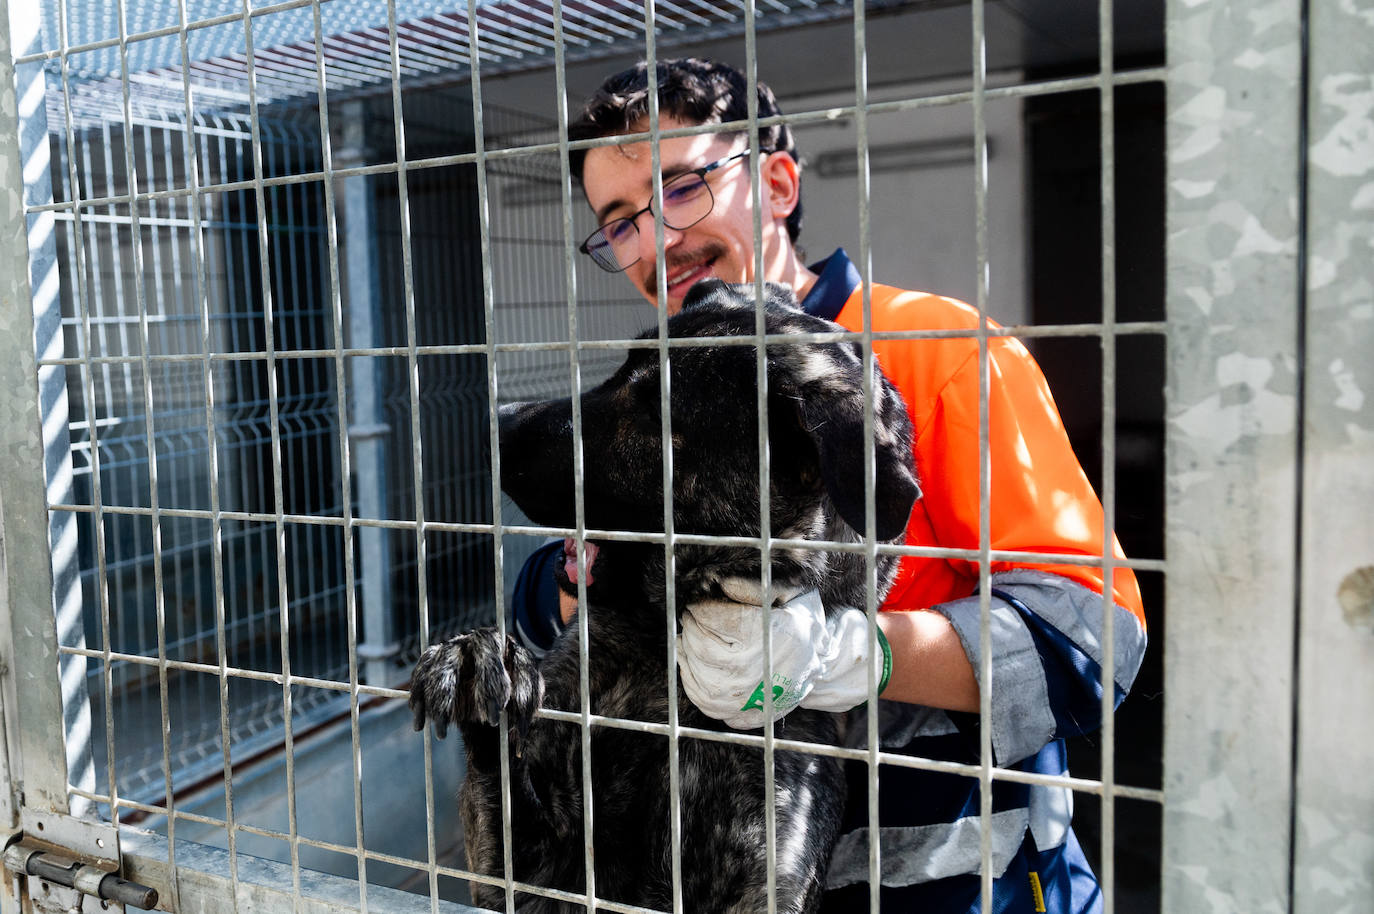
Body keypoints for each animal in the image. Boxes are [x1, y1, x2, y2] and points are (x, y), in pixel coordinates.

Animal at [412, 281, 917, 907]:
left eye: (656, 408)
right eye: (620, 368)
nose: (494, 422)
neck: (664, 664)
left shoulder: (768, 881)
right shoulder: (531, 875)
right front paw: (480, 663)